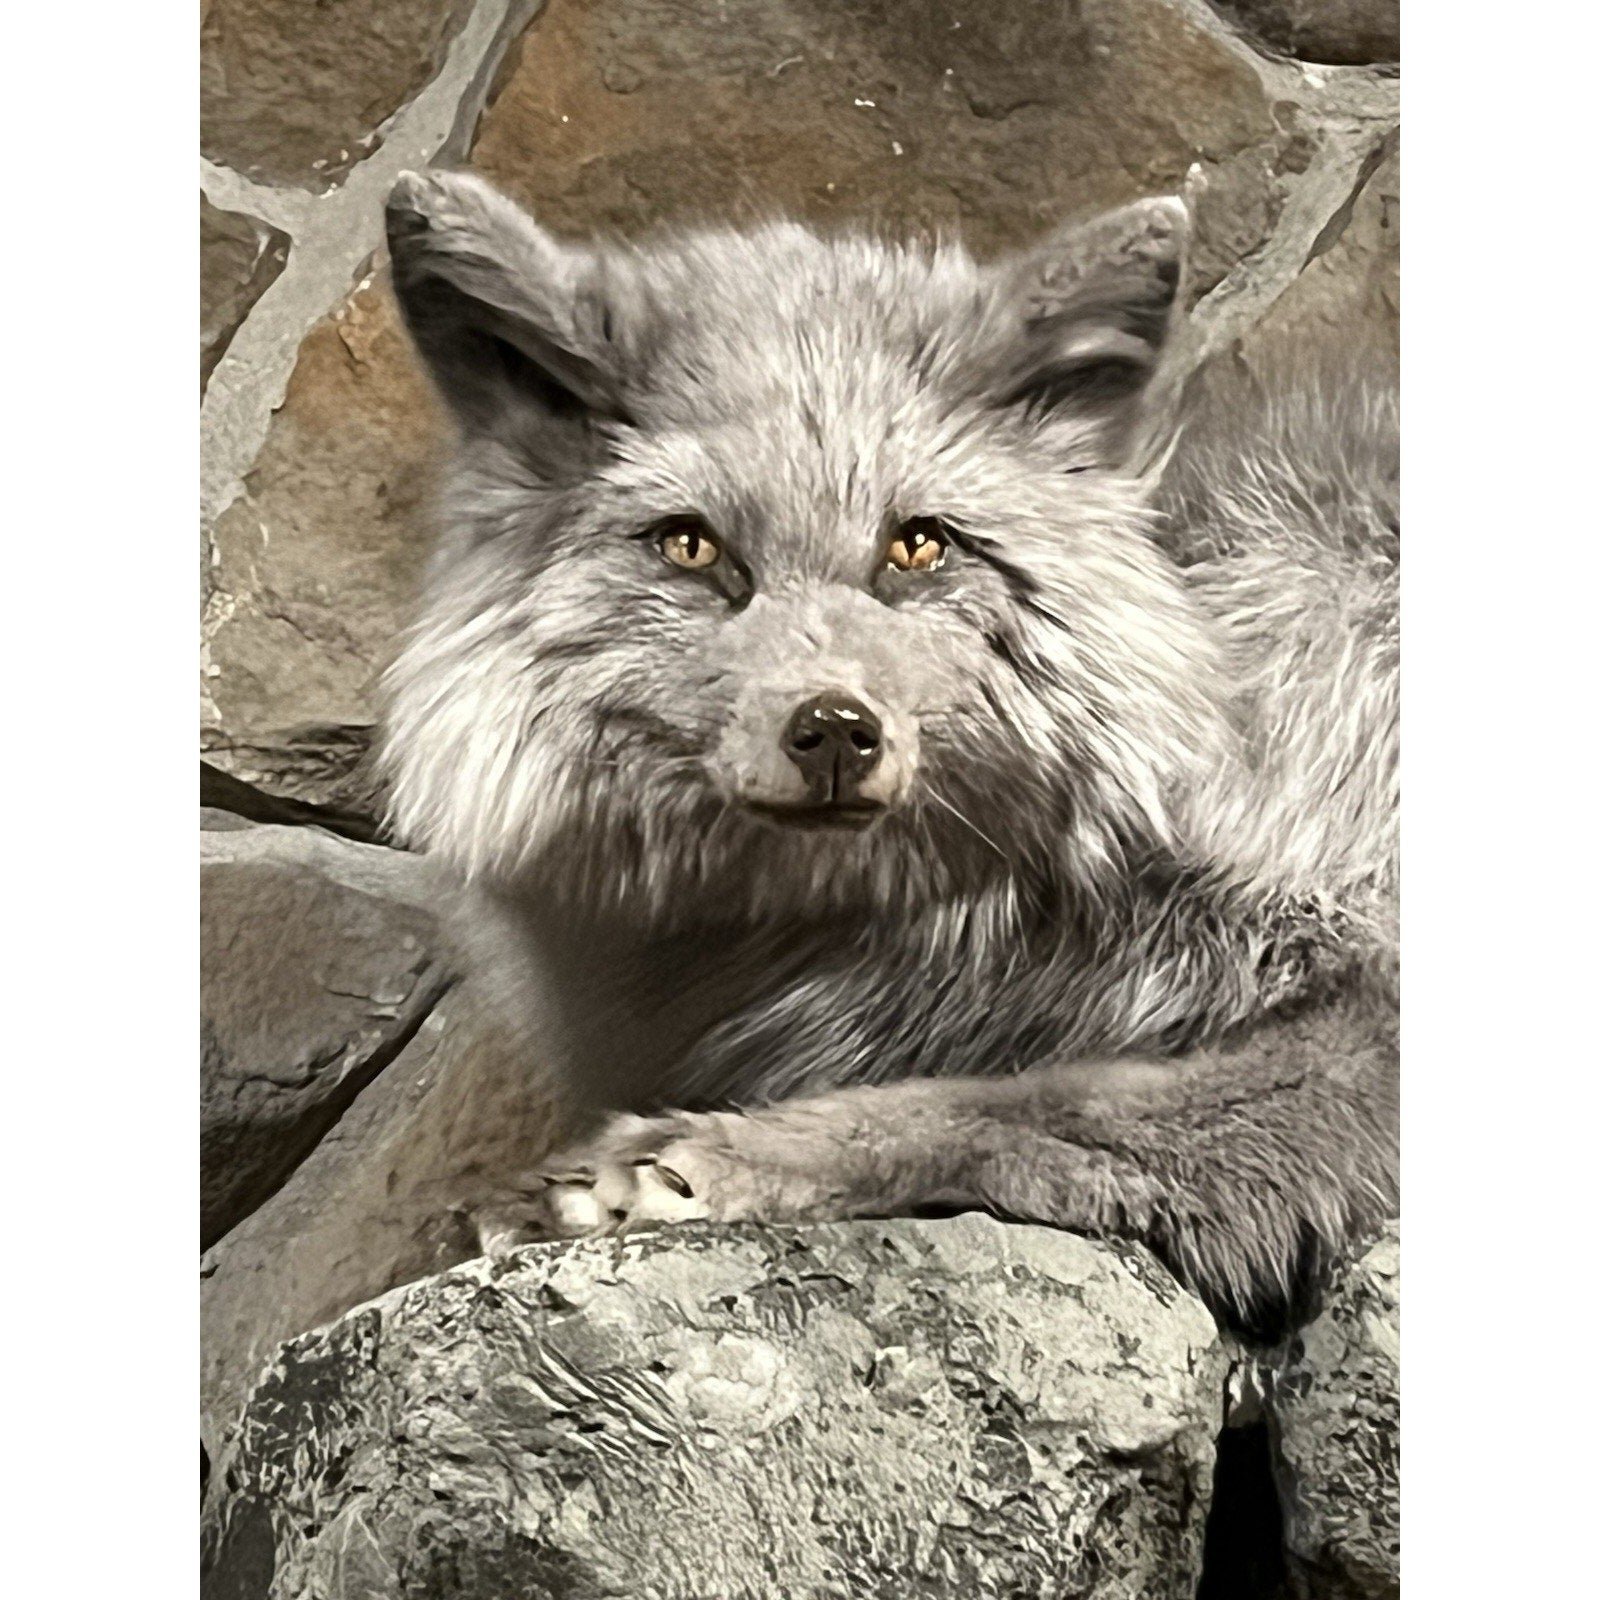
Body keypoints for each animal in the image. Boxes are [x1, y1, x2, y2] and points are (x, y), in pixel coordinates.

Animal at [379, 169, 1398, 1336]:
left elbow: (1022, 1099)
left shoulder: (1369, 990)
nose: (834, 728)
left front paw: (707, 1158)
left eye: (916, 545)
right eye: (692, 547)